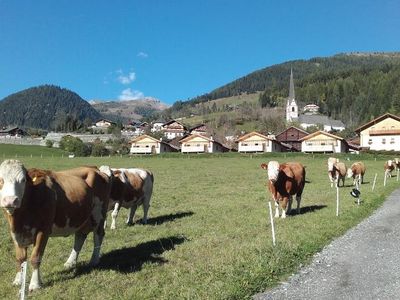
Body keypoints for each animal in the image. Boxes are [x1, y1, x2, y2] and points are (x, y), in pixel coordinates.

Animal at [0, 161, 111, 292]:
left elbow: (35, 257)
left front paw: (35, 284)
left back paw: (94, 259)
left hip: (99, 213)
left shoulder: (43, 230)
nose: (10, 200)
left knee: (98, 235)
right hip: (81, 217)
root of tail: (95, 169)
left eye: (23, 180)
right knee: (80, 236)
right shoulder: (15, 232)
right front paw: (18, 280)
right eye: (1, 180)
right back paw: (70, 262)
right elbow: (20, 258)